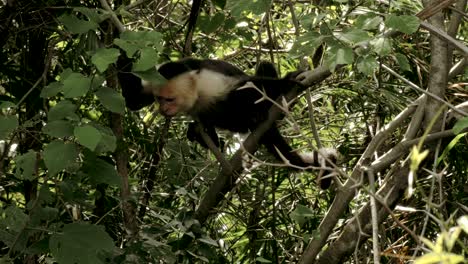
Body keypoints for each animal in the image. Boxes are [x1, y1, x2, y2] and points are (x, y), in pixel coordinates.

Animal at [116, 54, 336, 189]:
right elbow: (134, 102)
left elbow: (247, 84)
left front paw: (288, 81)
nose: (162, 109)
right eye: (158, 99)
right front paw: (122, 53)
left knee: (252, 81)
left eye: (169, 100)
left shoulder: (208, 82)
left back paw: (263, 113)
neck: (196, 91)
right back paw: (203, 134)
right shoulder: (154, 80)